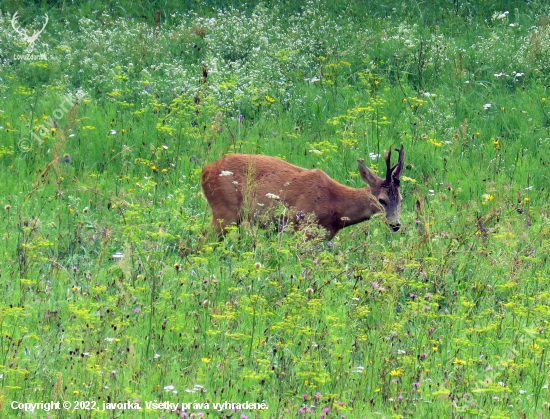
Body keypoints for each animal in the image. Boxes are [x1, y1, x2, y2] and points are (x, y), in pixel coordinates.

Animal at [202, 147, 406, 240]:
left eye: (401, 199)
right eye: (382, 200)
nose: (396, 225)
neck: (335, 203)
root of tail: (204, 172)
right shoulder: (302, 225)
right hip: (225, 210)